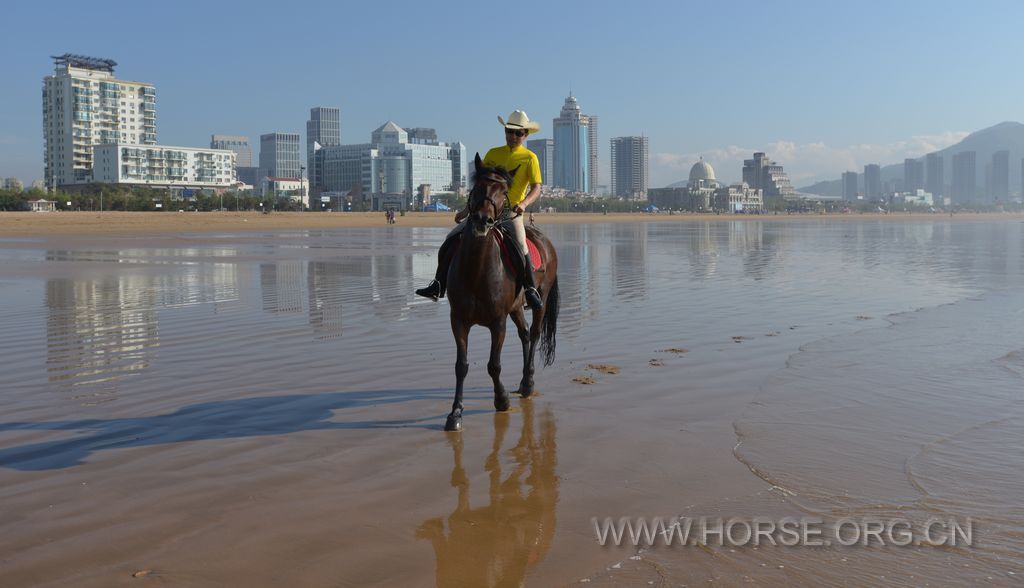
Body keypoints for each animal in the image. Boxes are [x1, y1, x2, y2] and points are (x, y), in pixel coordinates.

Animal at [442, 154, 561, 434]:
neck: (476, 269)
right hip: (516, 308)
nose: (483, 220)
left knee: (535, 333)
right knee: (525, 334)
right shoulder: (458, 320)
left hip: (540, 300)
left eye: (504, 192)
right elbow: (461, 366)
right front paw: (455, 413)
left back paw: (528, 382)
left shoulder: (498, 322)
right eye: (477, 187)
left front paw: (502, 400)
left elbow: (493, 365)